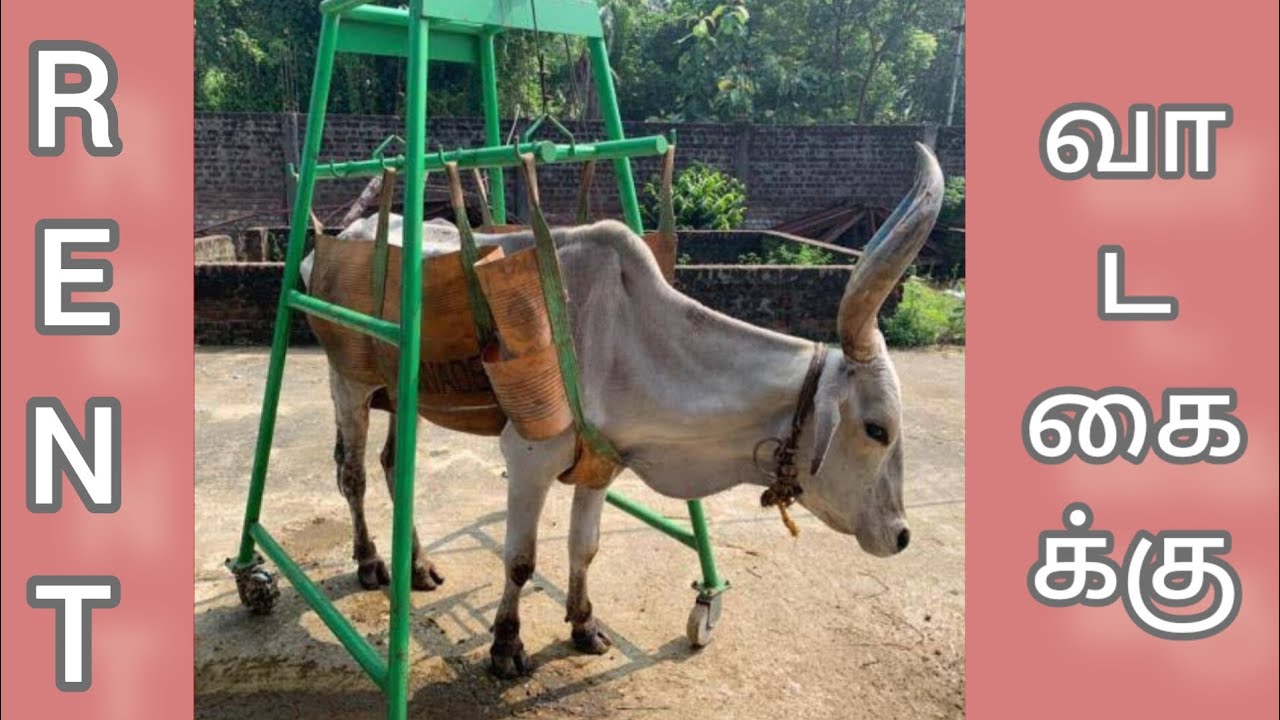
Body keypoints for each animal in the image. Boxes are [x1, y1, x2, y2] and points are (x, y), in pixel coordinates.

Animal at [300, 143, 944, 678]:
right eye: (877, 428)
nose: (901, 535)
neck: (628, 334)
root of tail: (339, 237)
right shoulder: (529, 458)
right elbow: (519, 560)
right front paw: (507, 647)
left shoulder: (602, 464)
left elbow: (584, 547)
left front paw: (584, 626)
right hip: (348, 380)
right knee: (353, 473)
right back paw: (370, 563)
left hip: (400, 394)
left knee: (392, 467)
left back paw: (419, 566)